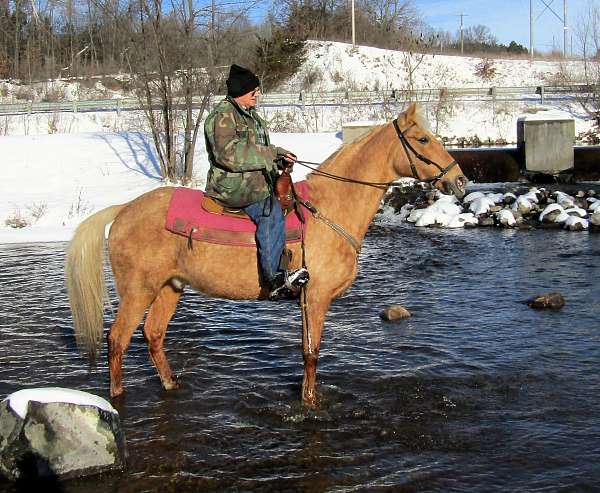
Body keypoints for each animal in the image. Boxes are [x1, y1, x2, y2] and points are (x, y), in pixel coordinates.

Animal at [65, 102, 468, 406]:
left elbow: (307, 352)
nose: (460, 179)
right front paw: (310, 402)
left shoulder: (308, 299)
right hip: (138, 291)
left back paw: (171, 385)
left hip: (169, 288)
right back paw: (117, 396)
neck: (329, 208)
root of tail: (122, 210)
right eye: (422, 138)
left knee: (153, 335)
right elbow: (312, 354)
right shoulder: (316, 296)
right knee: (117, 339)